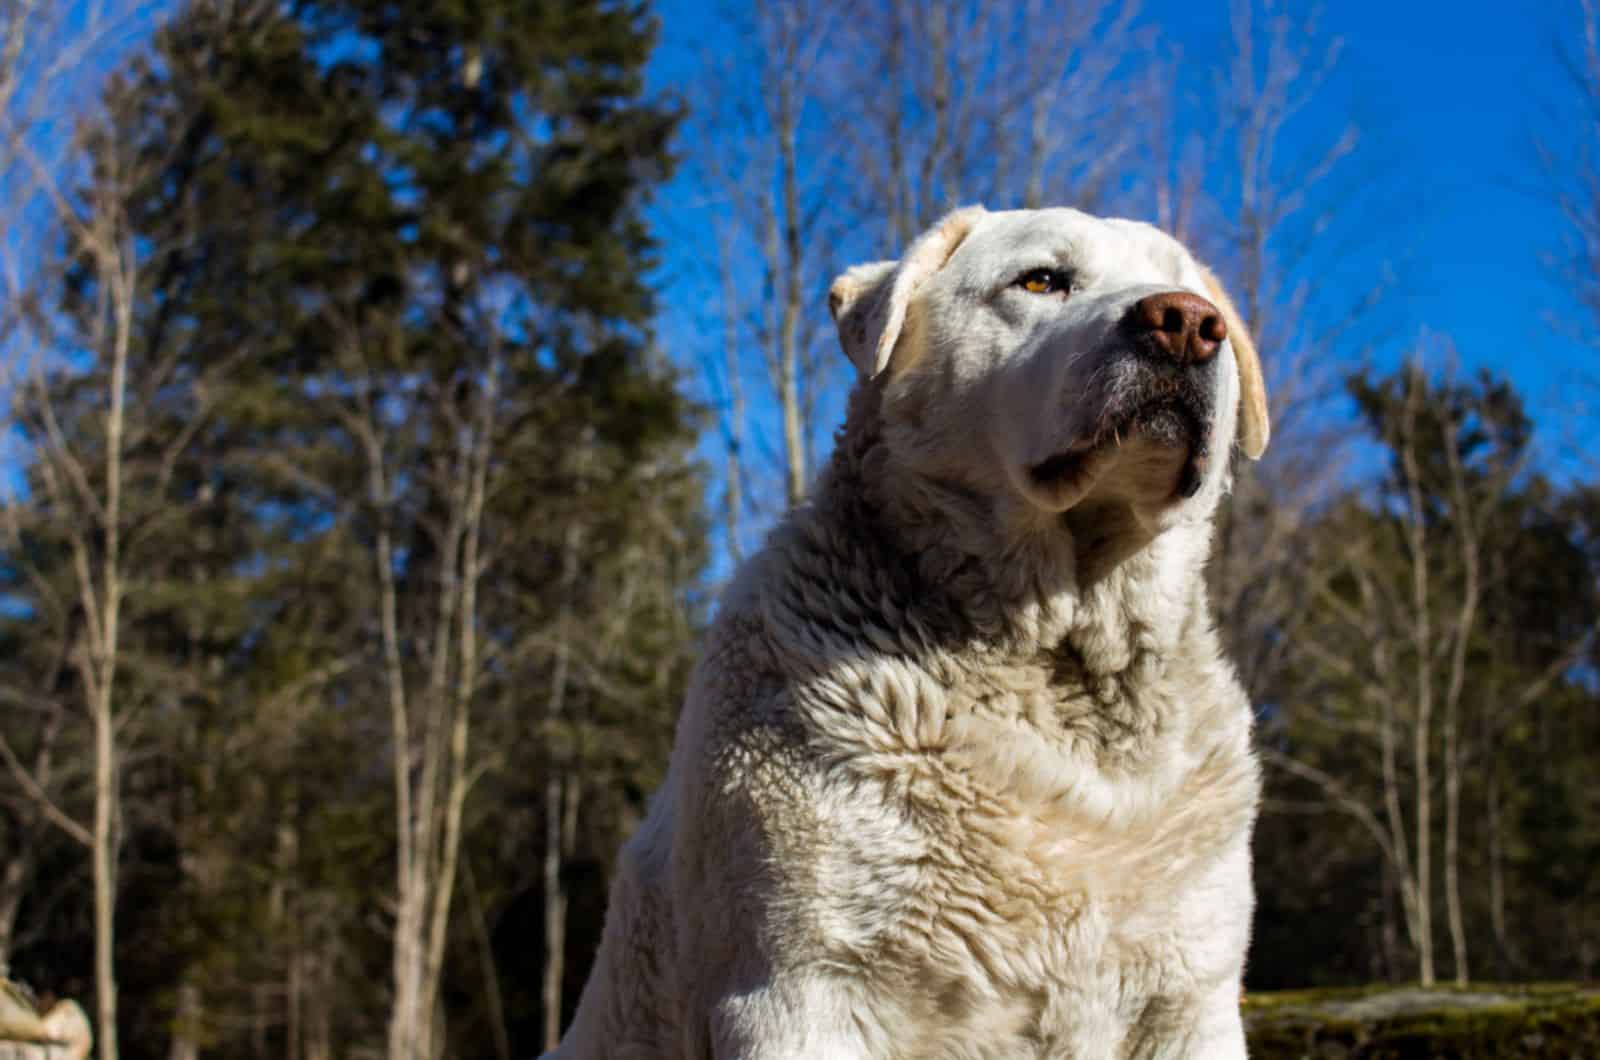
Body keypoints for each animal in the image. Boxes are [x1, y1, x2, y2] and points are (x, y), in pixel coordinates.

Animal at [553, 208, 1273, 1060]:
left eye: (1200, 300)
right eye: (1041, 280)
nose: (1187, 324)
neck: (1056, 644)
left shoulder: (1192, 998)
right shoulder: (800, 989)